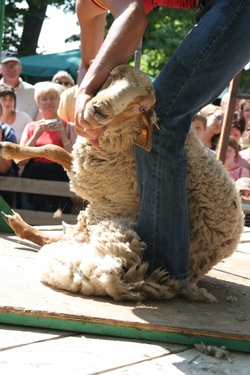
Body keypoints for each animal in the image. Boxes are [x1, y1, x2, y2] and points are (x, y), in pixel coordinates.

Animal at [0, 65, 243, 302]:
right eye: (114, 75)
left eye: (142, 107)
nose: (99, 108)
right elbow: (54, 150)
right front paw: (11, 149)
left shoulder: (92, 179)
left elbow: (55, 150)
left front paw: (9, 150)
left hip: (108, 223)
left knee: (58, 240)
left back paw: (17, 223)